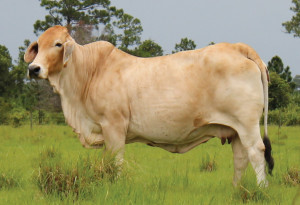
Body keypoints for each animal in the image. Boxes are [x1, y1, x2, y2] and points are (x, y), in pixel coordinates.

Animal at [24, 25, 274, 186]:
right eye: (39, 45)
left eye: (58, 44)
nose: (33, 69)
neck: (89, 73)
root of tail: (238, 47)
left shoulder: (114, 126)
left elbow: (116, 162)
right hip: (235, 131)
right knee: (240, 159)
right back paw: (236, 190)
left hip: (247, 125)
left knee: (257, 153)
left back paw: (260, 190)